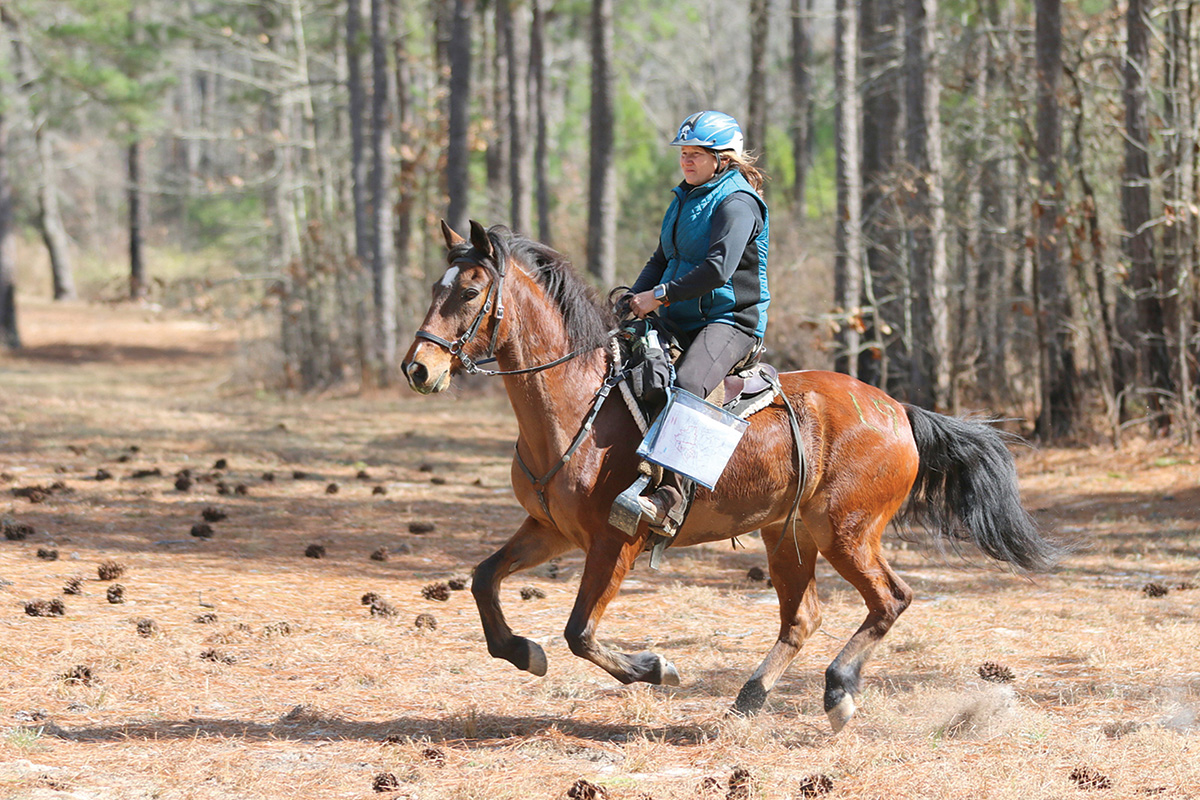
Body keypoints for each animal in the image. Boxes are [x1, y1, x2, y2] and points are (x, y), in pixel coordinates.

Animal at [403, 219, 1060, 734]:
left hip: (846, 532)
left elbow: (580, 632)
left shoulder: (615, 542)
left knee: (890, 599)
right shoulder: (551, 530)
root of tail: (899, 411)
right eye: (436, 288)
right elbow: (484, 580)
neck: (579, 403)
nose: (418, 368)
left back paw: (838, 691)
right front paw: (521, 652)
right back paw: (751, 698)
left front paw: (655, 668)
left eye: (470, 290)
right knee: (802, 618)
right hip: (789, 536)